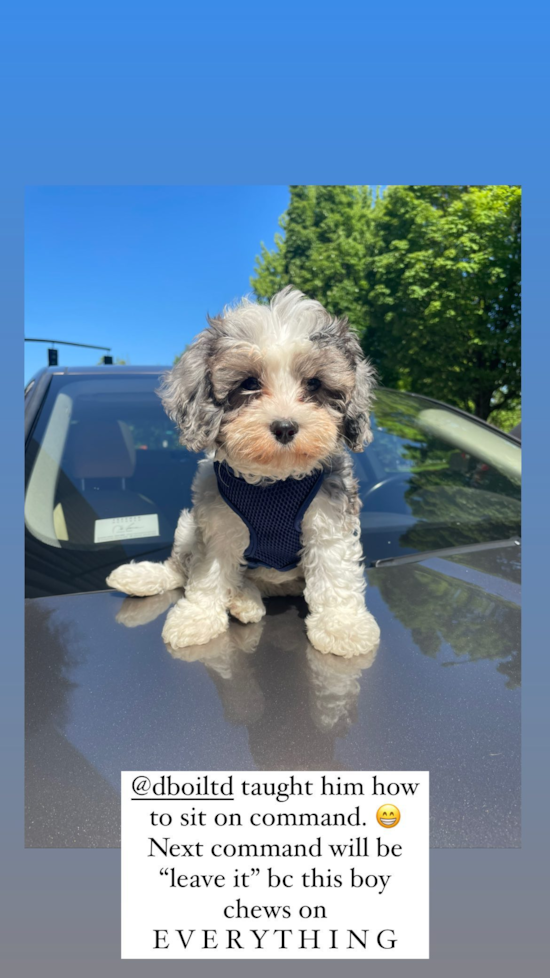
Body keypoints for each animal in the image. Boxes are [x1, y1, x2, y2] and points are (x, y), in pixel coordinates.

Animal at [108, 288, 384, 656]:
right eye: (250, 383)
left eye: (314, 384)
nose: (285, 427)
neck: (275, 480)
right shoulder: (218, 520)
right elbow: (208, 572)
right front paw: (196, 617)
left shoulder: (330, 517)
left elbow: (333, 568)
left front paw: (342, 625)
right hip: (188, 524)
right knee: (180, 568)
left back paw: (244, 599)